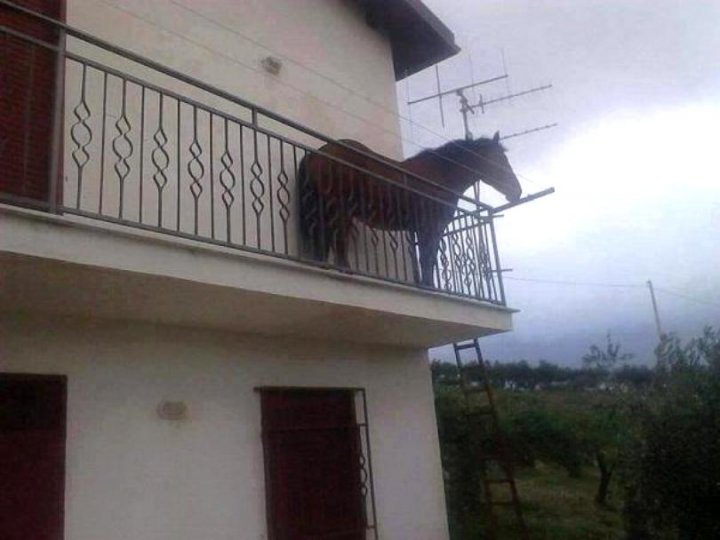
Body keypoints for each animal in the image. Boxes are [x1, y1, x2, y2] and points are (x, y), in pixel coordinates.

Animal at [296, 133, 520, 286]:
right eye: (500, 160)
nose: (517, 191)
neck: (439, 176)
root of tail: (318, 153)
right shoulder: (431, 227)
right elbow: (428, 258)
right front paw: (429, 287)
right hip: (340, 212)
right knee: (339, 246)